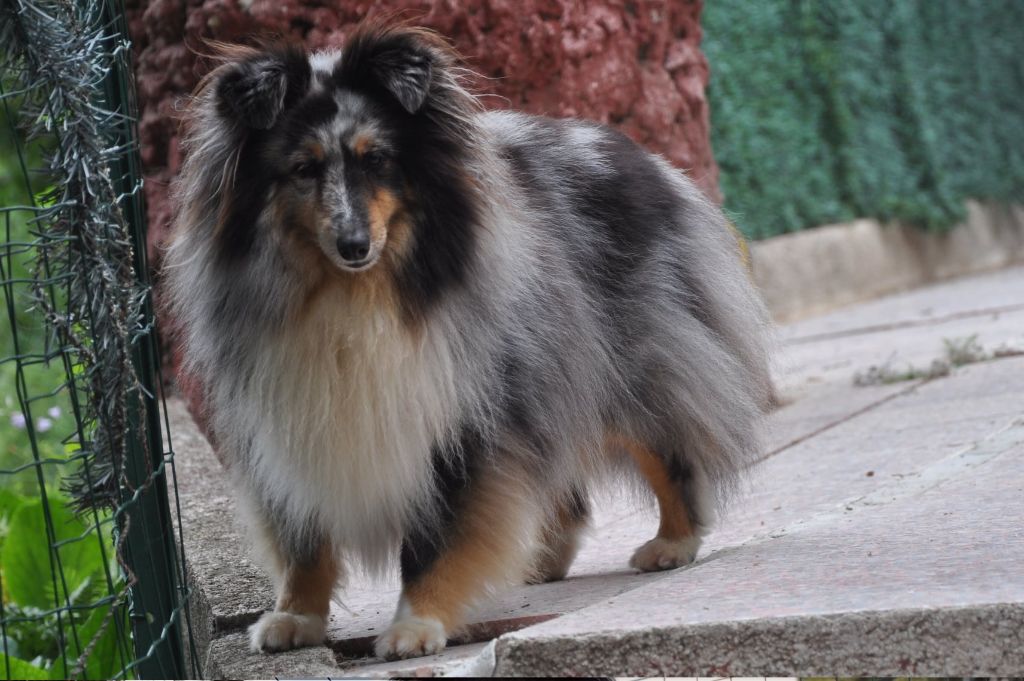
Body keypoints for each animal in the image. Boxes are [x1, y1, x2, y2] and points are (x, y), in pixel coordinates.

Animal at [163, 22, 770, 659]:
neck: (355, 295)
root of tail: (648, 159)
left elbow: (436, 537)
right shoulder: (283, 418)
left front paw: (413, 628)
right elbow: (302, 530)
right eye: (303, 168)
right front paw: (293, 620)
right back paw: (540, 561)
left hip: (634, 359)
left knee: (666, 445)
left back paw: (672, 544)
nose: (354, 245)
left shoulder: (460, 411)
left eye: (377, 160)